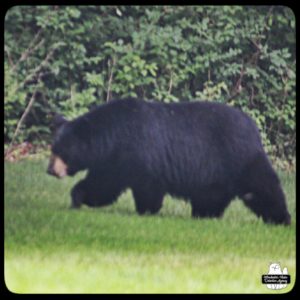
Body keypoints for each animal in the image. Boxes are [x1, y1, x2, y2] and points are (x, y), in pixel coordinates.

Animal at [47, 98, 290, 225]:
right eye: (53, 149)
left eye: (60, 151)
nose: (50, 170)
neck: (111, 133)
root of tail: (253, 127)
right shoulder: (114, 159)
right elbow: (102, 184)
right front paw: (77, 197)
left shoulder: (136, 154)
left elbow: (136, 187)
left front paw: (146, 211)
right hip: (216, 176)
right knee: (212, 197)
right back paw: (204, 216)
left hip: (239, 159)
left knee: (261, 187)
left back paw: (281, 219)